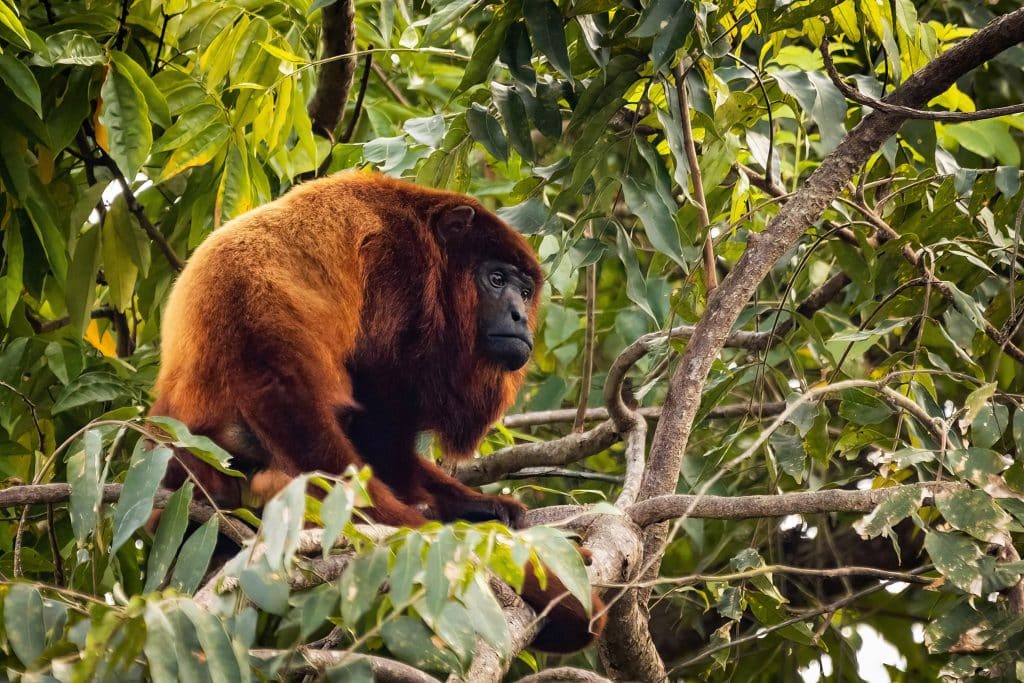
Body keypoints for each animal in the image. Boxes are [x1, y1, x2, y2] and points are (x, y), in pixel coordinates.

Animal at [148, 171, 602, 651]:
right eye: (495, 279)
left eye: (525, 291)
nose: (519, 316)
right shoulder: (398, 265)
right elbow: (379, 390)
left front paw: (478, 505)